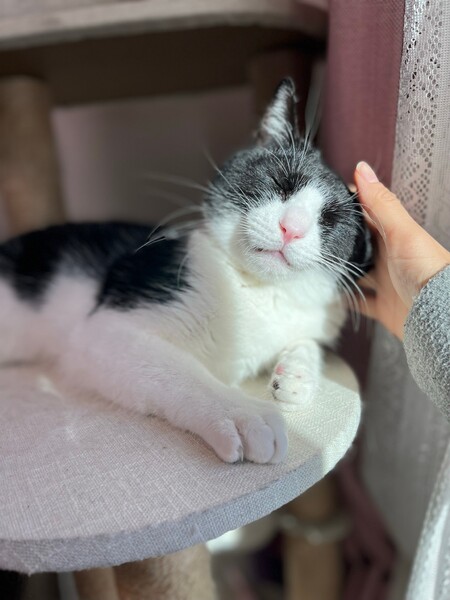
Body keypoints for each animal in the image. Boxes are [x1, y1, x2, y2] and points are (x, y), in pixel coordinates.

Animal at [0, 79, 371, 464]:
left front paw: (296, 374)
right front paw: (243, 413)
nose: (292, 228)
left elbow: (309, 341)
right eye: (281, 182)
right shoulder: (108, 331)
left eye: (331, 219)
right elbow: (181, 371)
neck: (258, 291)